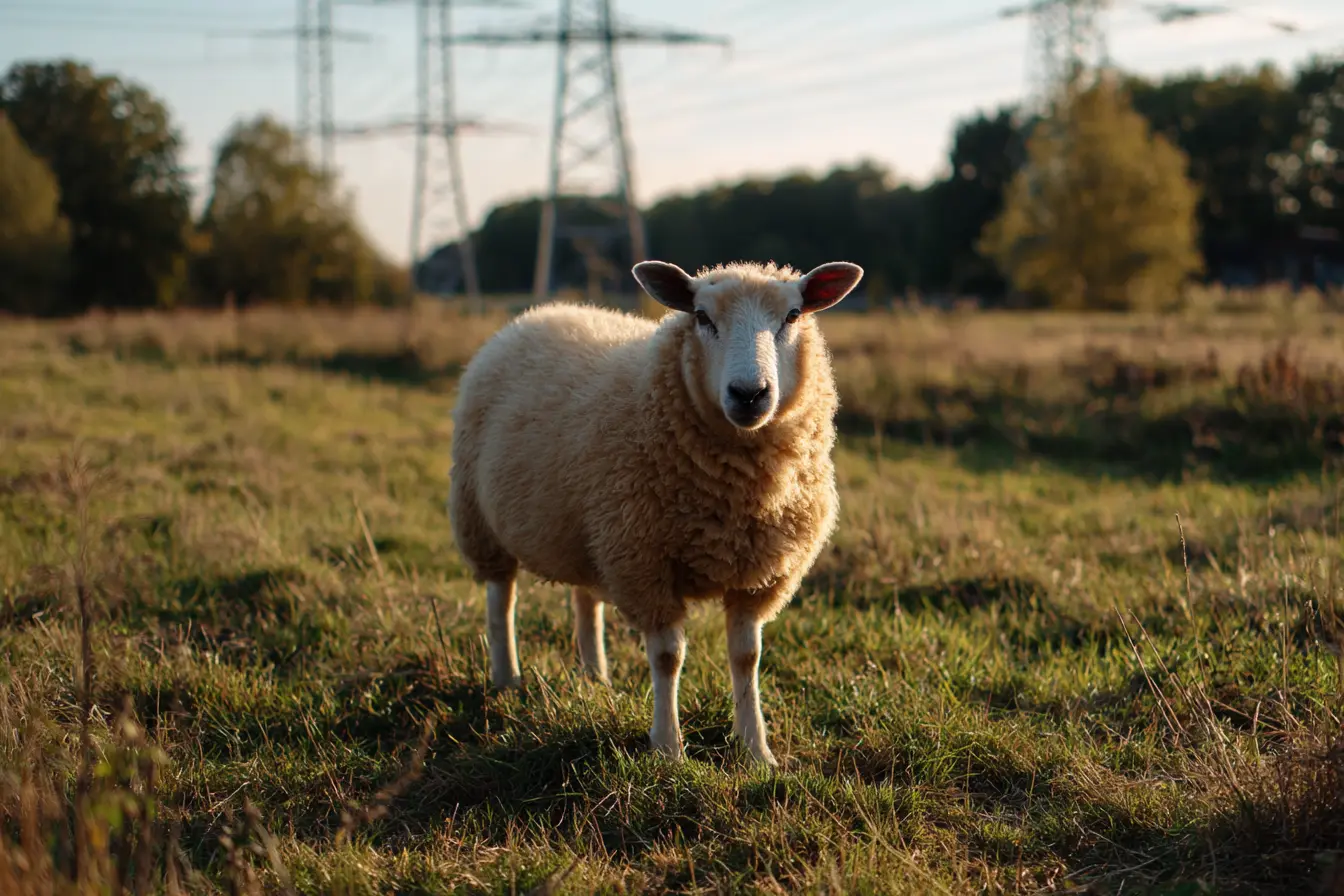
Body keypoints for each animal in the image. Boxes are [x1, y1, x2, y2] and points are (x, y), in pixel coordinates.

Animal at [447, 258, 864, 765]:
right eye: (702, 317)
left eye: (793, 315)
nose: (749, 394)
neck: (737, 493)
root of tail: (541, 312)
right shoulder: (645, 565)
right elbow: (667, 658)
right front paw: (668, 748)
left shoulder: (755, 575)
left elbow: (746, 658)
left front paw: (756, 750)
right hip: (480, 520)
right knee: (501, 599)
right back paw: (507, 678)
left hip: (591, 530)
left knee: (585, 598)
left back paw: (595, 678)